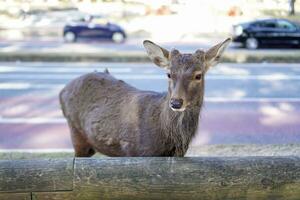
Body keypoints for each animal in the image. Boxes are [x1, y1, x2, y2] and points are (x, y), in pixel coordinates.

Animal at [59, 38, 231, 157]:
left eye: (198, 75)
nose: (176, 102)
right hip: (76, 133)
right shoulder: (135, 152)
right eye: (169, 74)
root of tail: (62, 91)